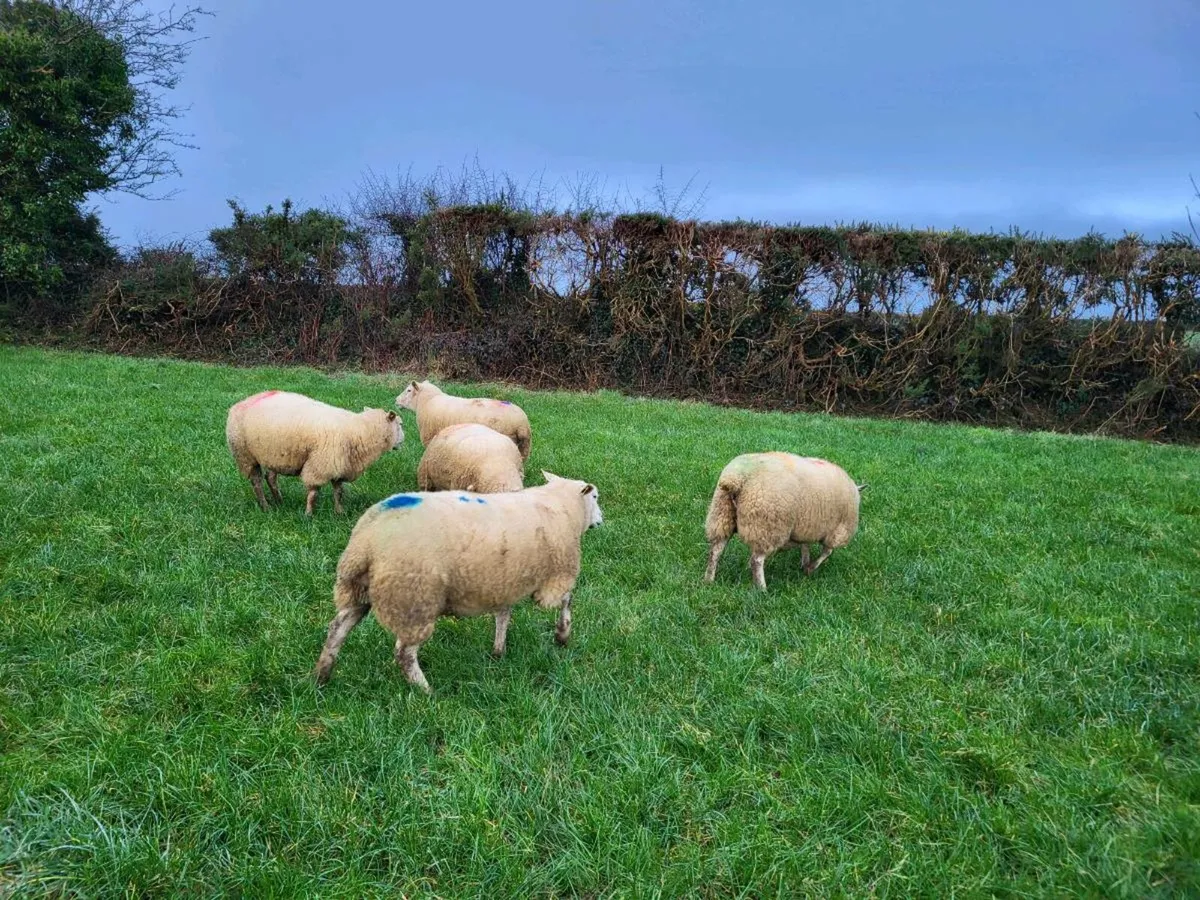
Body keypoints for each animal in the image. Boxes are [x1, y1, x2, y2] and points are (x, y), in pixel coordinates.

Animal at [225, 389, 404, 516]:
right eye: (400, 424)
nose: (404, 440)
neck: (360, 430)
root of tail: (238, 405)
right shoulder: (320, 465)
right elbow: (313, 493)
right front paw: (309, 515)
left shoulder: (338, 464)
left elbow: (338, 491)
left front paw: (339, 512)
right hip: (245, 455)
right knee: (256, 482)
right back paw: (266, 506)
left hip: (272, 453)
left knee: (270, 477)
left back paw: (279, 501)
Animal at [313, 471, 604, 693]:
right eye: (595, 497)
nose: (601, 521)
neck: (562, 507)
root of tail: (367, 538)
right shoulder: (557, 576)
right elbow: (567, 599)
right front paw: (562, 635)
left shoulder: (503, 581)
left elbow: (503, 615)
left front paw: (498, 651)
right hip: (413, 598)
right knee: (404, 653)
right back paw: (426, 691)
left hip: (358, 589)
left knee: (337, 629)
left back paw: (321, 675)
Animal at [395, 380, 532, 461]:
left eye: (408, 390)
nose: (395, 400)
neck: (427, 401)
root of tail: (522, 425)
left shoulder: (430, 438)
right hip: (524, 447)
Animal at [703, 452, 866, 590]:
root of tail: (737, 478)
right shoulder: (837, 532)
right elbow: (827, 552)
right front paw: (810, 568)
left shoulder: (806, 526)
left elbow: (805, 546)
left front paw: (804, 563)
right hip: (767, 524)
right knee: (757, 560)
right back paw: (762, 589)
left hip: (721, 515)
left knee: (715, 551)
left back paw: (709, 580)